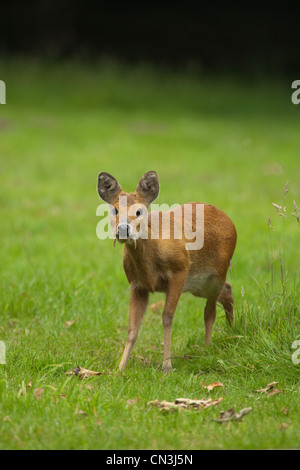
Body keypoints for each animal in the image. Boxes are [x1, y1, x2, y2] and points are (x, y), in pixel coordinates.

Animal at [98, 171, 237, 372]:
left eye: (139, 211)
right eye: (115, 210)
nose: (123, 229)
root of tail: (230, 221)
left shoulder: (180, 270)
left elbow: (167, 317)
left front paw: (167, 366)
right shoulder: (136, 284)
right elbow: (132, 328)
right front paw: (119, 368)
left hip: (216, 274)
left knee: (209, 311)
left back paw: (207, 348)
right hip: (199, 285)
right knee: (227, 290)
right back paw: (231, 332)